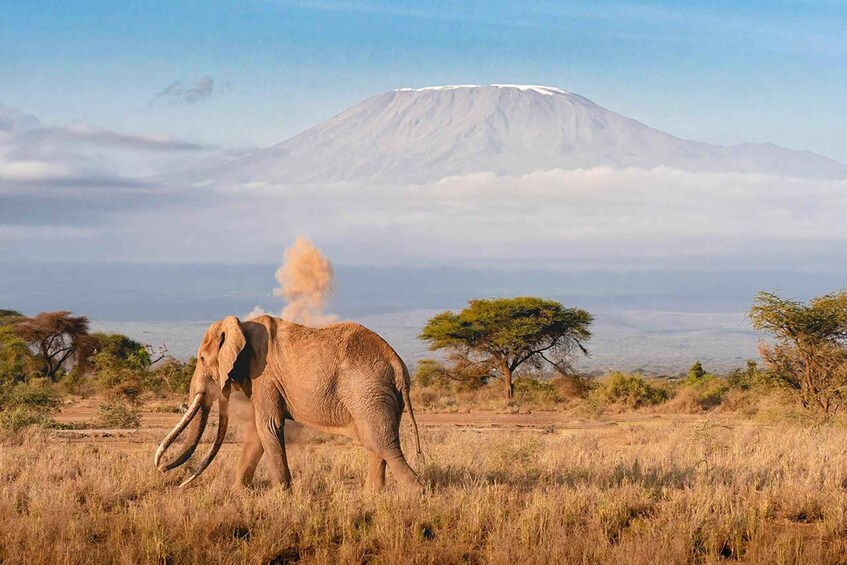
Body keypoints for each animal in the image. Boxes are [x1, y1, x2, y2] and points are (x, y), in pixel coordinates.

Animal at [154, 314, 422, 491]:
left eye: (201, 358)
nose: (163, 469)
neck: (241, 325)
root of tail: (397, 364)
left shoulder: (264, 376)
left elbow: (268, 426)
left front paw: (282, 495)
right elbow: (257, 432)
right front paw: (239, 493)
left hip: (367, 392)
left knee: (383, 443)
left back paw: (415, 494)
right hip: (378, 396)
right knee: (374, 443)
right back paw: (372, 497)